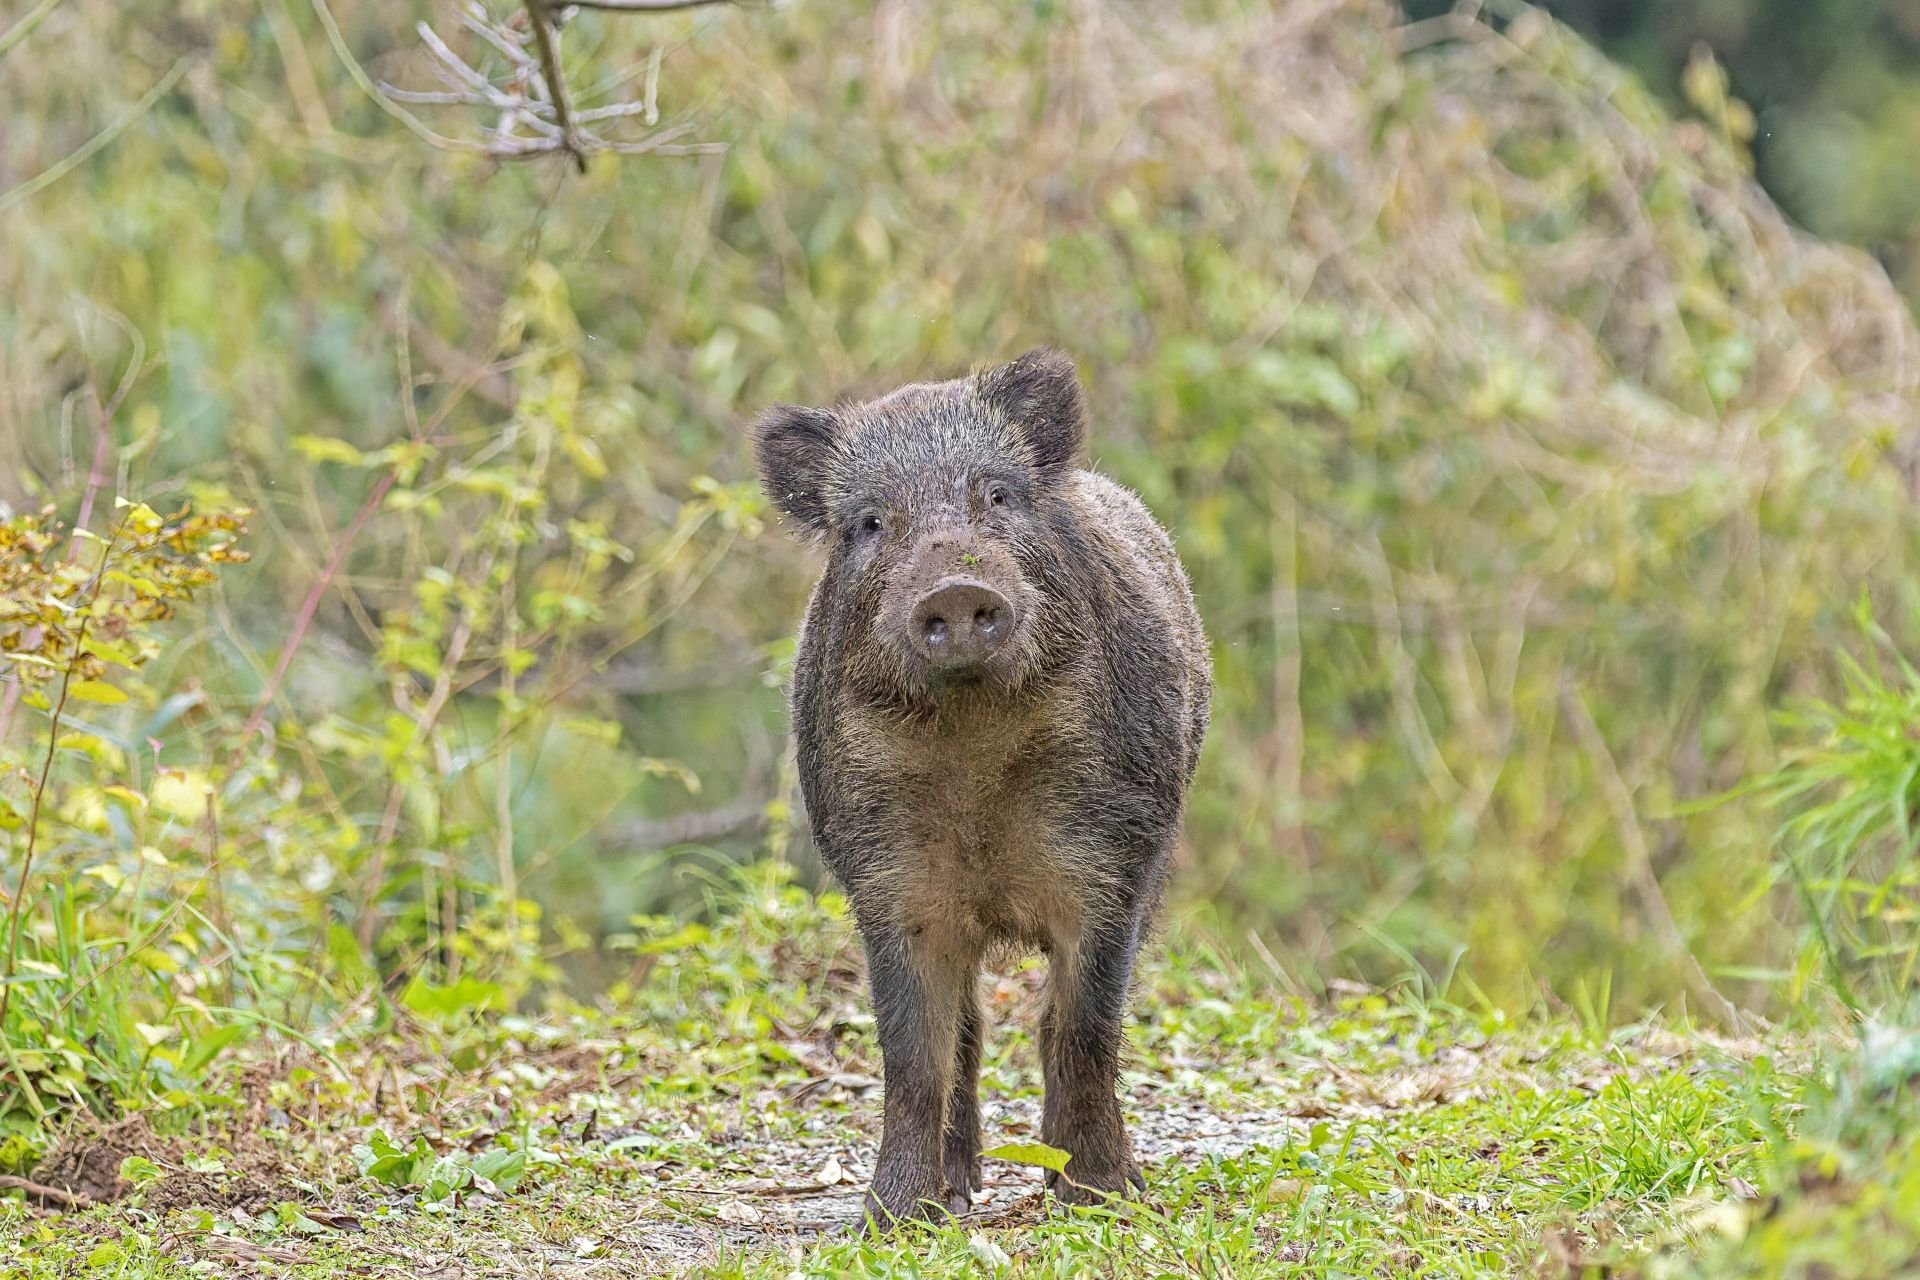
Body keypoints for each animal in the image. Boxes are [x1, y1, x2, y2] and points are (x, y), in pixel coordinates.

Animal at [752, 348, 1210, 1224]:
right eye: (870, 522)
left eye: (998, 495)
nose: (955, 589)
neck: (976, 763)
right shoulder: (887, 885)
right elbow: (914, 1055)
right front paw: (892, 1219)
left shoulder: (1113, 867)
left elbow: (1082, 1030)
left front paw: (1103, 1199)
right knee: (966, 1032)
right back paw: (958, 1189)